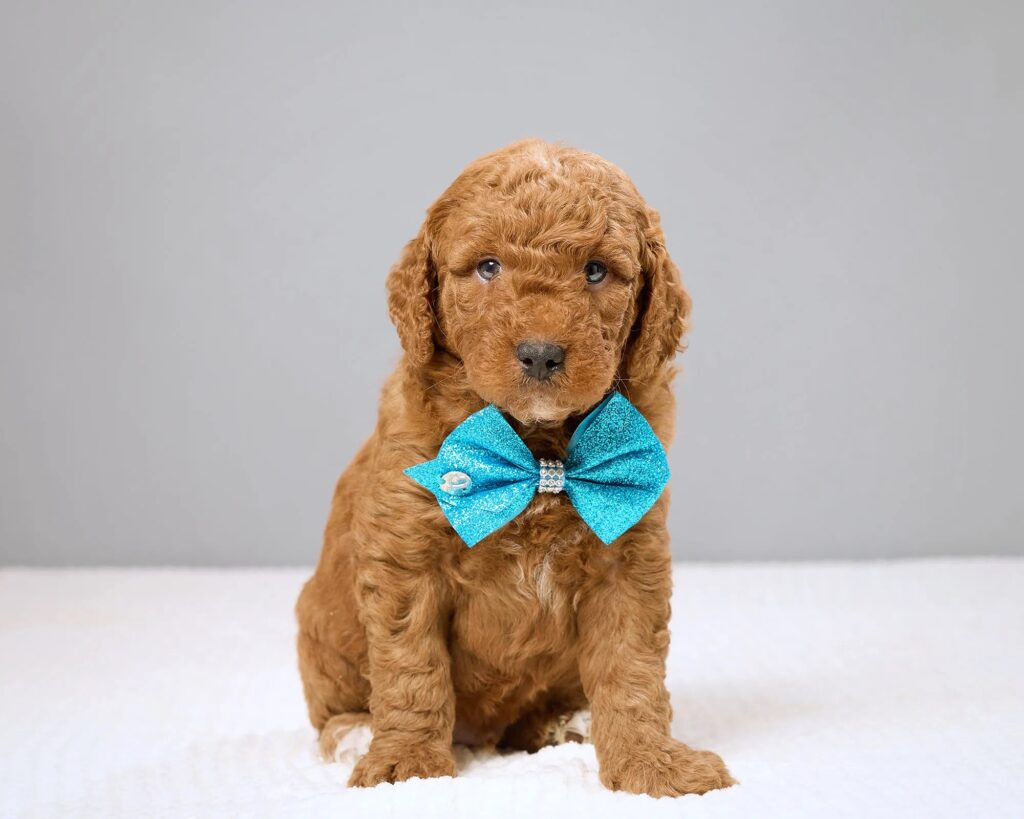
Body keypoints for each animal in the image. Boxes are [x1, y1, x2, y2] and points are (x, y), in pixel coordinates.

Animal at [292, 137, 733, 798]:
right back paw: (354, 733)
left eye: (596, 270)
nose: (541, 354)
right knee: (333, 709)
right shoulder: (406, 558)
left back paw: (564, 723)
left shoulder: (628, 557)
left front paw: (653, 764)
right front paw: (407, 765)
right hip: (320, 634)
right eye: (488, 267)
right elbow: (411, 668)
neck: (536, 450)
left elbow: (632, 669)